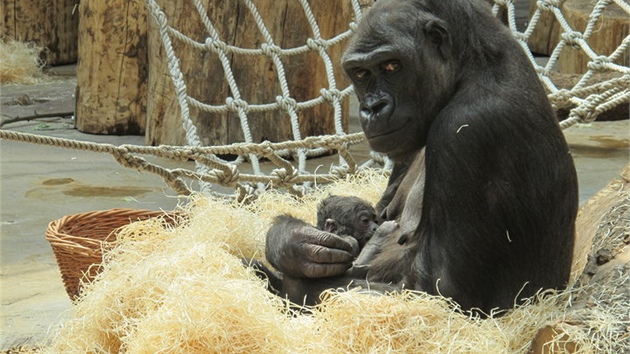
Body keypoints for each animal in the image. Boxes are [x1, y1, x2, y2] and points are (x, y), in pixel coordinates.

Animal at [264, 0, 580, 316]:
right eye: (361, 73)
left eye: (392, 65)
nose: (373, 107)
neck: (471, 67)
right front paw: (292, 244)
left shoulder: (466, 129)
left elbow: (442, 293)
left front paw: (293, 280)